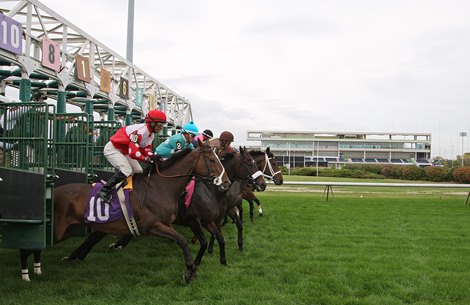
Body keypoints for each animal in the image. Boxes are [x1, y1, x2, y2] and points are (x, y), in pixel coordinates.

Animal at [20, 141, 229, 284]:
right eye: (212, 160)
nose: (226, 183)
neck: (160, 186)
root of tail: (54, 192)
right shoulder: (153, 226)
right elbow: (183, 241)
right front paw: (189, 271)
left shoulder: (170, 224)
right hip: (58, 230)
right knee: (29, 246)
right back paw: (25, 274)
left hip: (69, 229)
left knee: (40, 245)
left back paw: (43, 267)